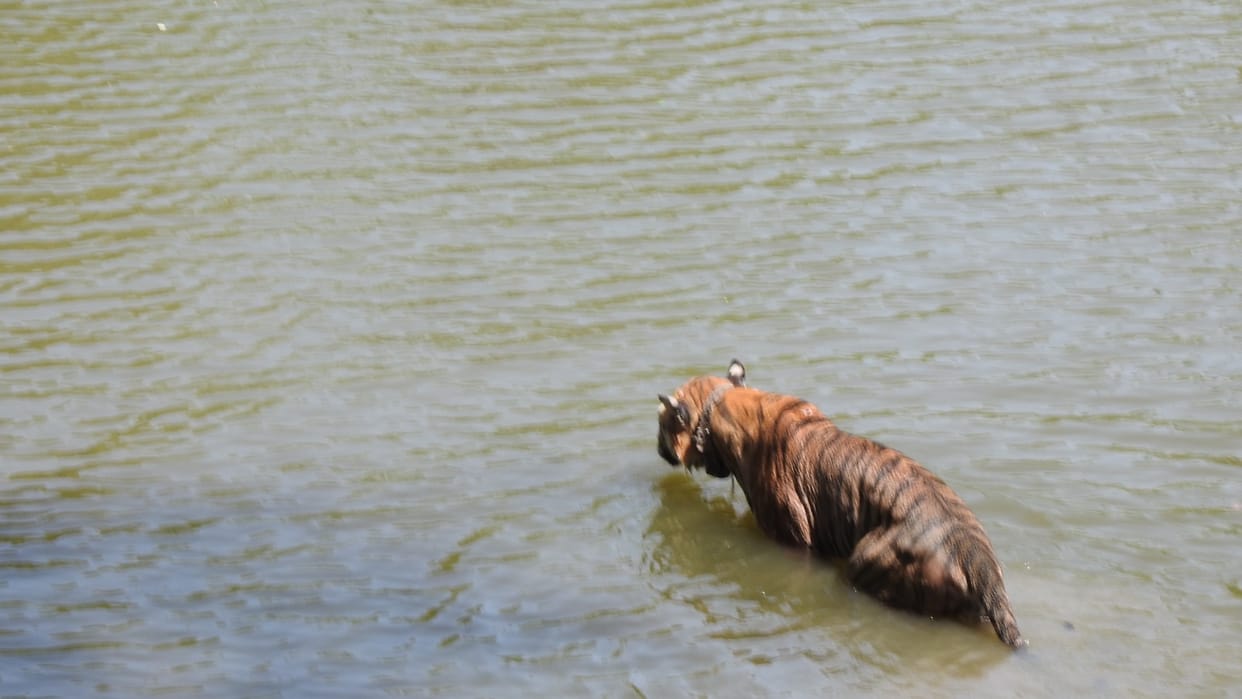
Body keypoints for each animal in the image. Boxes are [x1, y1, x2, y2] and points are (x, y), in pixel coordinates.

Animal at [656, 359, 1025, 649]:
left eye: (661, 423)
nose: (659, 449)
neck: (724, 406)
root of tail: (973, 552)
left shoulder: (792, 540)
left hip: (865, 561)